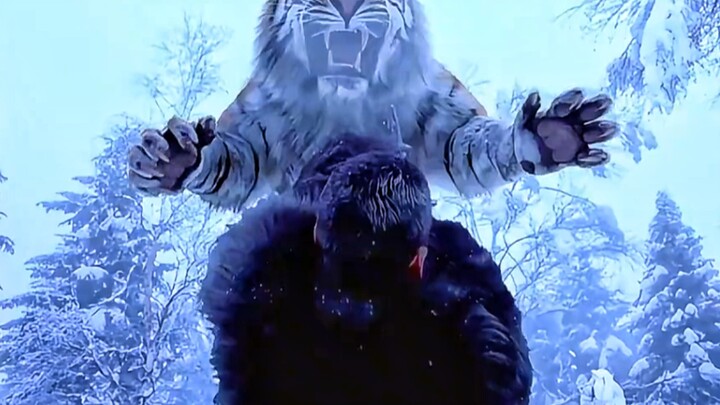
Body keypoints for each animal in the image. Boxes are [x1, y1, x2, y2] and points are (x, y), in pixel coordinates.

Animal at [127, 0, 617, 211]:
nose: (347, 6)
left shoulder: (443, 116)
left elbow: (473, 146)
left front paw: (551, 134)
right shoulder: (257, 129)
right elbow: (233, 162)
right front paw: (173, 158)